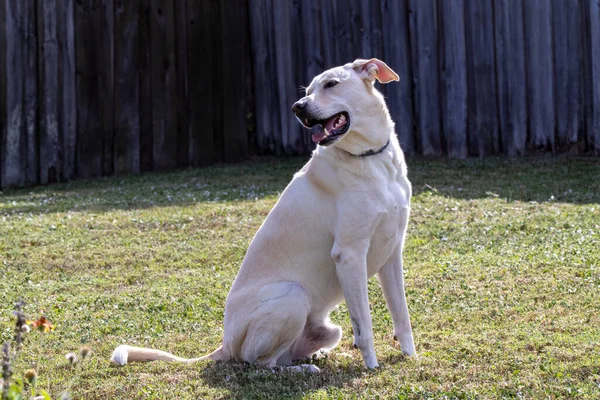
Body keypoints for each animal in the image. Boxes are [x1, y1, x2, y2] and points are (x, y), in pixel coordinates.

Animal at [110, 57, 414, 370]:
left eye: (331, 84)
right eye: (309, 90)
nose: (297, 107)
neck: (370, 158)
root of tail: (225, 344)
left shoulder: (392, 253)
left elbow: (402, 316)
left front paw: (410, 356)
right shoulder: (350, 255)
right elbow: (364, 326)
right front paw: (371, 368)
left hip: (328, 329)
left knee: (286, 354)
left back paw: (318, 356)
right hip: (294, 295)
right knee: (260, 363)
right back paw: (302, 369)